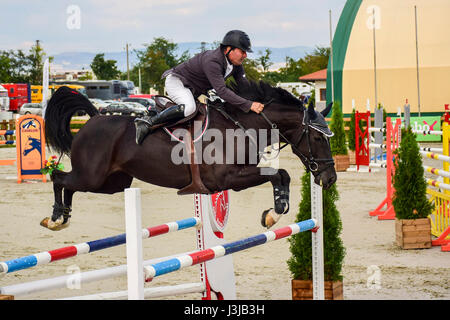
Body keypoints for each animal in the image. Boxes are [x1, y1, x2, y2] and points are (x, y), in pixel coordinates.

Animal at [42, 82, 336, 230]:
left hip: (112, 183)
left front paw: (275, 211)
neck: (240, 126)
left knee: (70, 185)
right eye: (318, 138)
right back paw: (55, 217)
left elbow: (281, 176)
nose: (330, 178)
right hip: (92, 176)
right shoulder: (226, 179)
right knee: (58, 177)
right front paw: (274, 213)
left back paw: (64, 217)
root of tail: (93, 118)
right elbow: (278, 174)